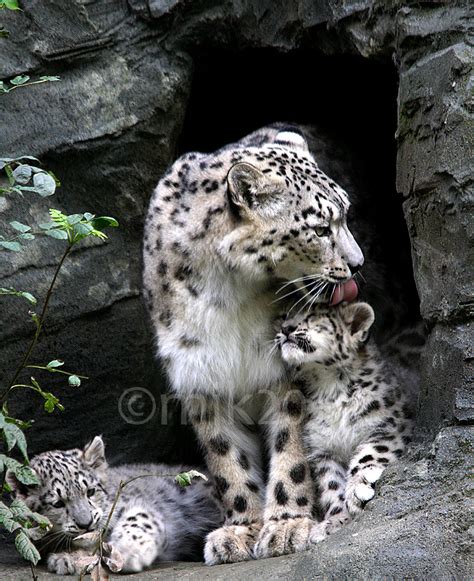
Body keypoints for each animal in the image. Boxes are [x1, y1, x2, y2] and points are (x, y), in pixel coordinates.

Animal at [8, 436, 224, 572]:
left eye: (90, 491)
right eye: (58, 503)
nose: (86, 523)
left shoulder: (139, 505)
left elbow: (138, 519)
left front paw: (128, 550)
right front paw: (67, 558)